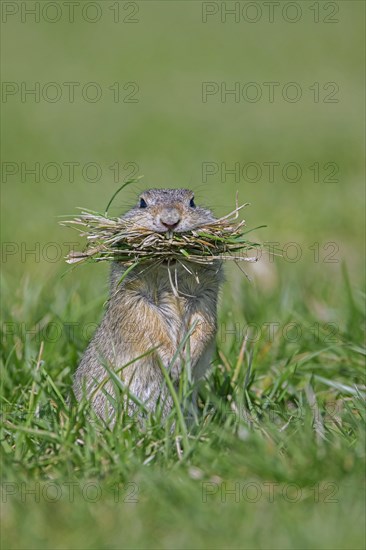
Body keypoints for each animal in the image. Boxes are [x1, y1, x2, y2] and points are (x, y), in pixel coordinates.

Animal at [72, 190, 223, 422]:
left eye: (192, 202)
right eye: (142, 203)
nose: (170, 221)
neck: (169, 275)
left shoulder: (205, 295)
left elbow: (206, 324)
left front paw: (187, 362)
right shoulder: (133, 296)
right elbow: (147, 326)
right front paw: (172, 363)